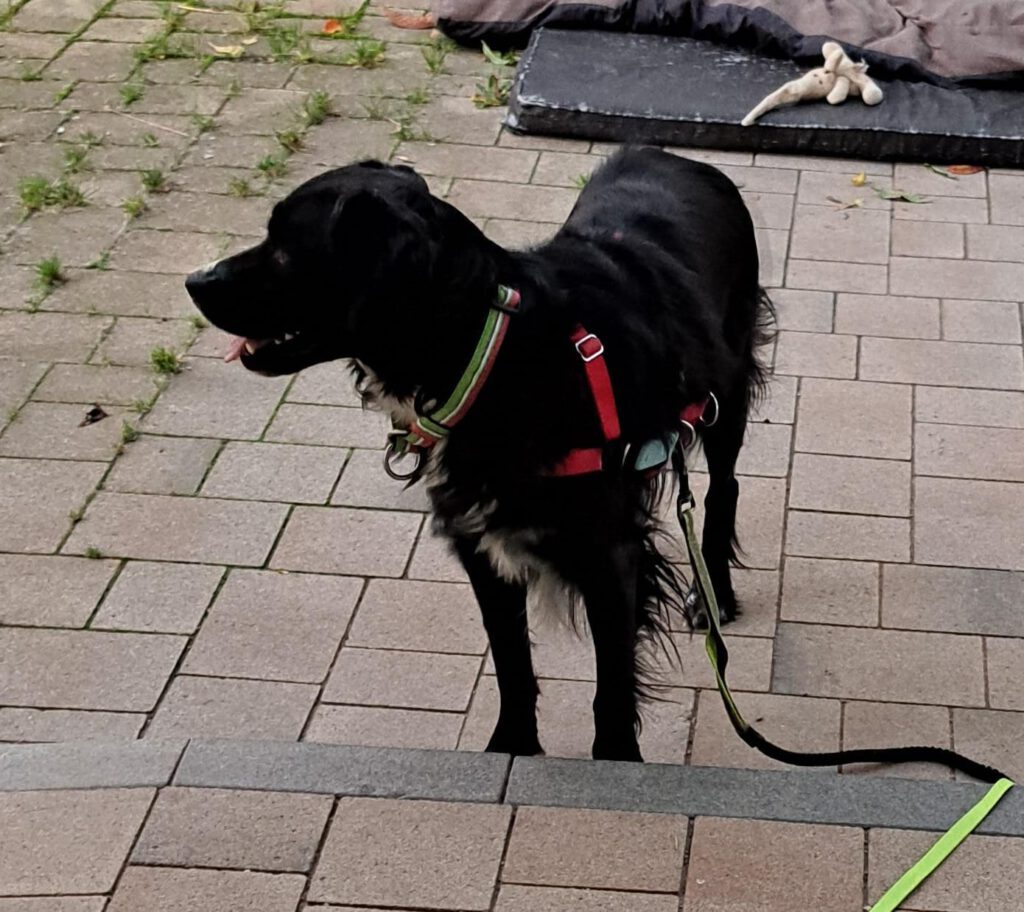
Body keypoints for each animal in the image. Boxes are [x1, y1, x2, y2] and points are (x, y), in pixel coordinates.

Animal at [185, 147, 773, 762]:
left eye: (284, 246)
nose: (193, 280)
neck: (496, 355)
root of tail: (676, 155)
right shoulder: (480, 540)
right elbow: (512, 664)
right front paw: (512, 745)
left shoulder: (609, 553)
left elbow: (611, 684)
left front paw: (615, 760)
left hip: (724, 395)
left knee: (723, 488)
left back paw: (714, 597)